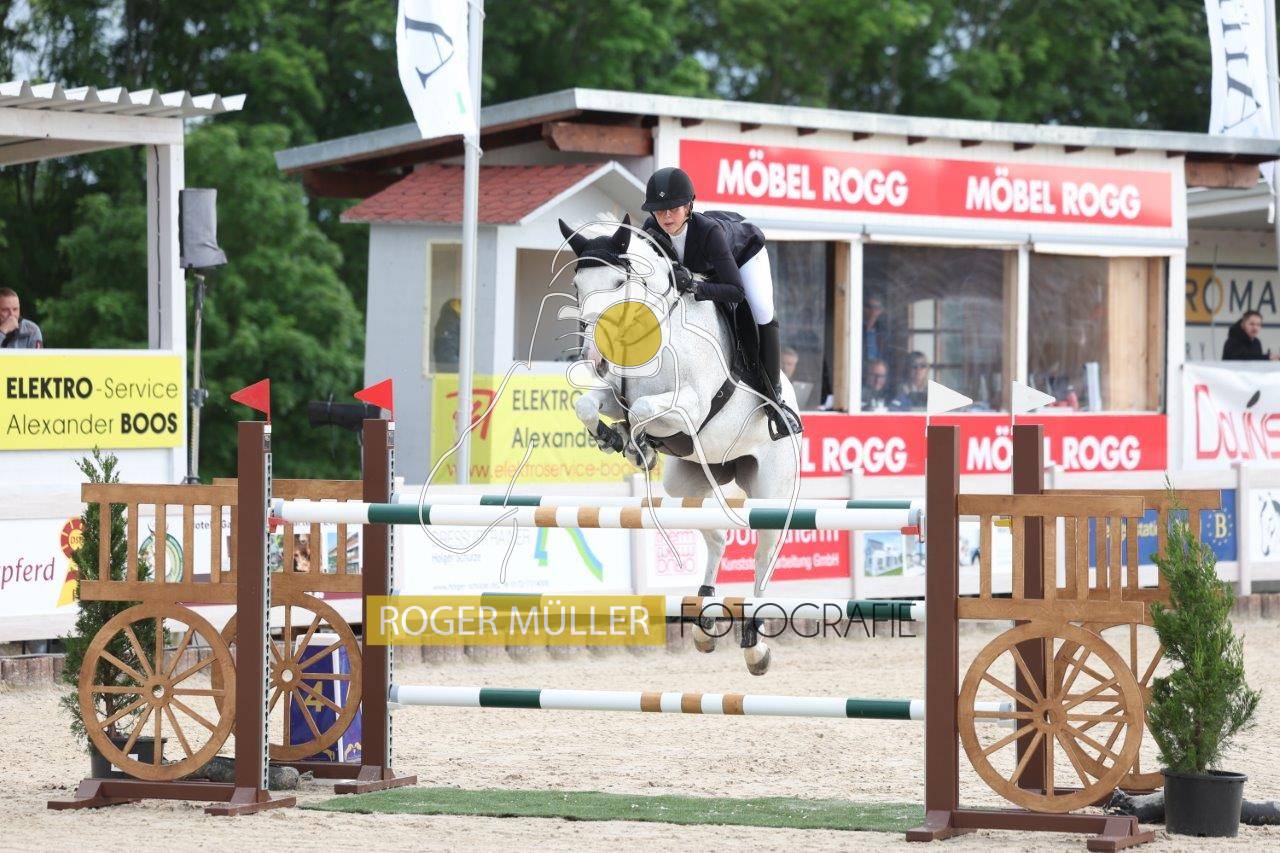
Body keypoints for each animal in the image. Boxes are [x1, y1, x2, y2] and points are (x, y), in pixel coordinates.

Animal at [556, 214, 801, 675]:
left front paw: (638, 444)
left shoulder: (689, 404)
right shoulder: (614, 393)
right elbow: (588, 405)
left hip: (771, 491)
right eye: (578, 284)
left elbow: (642, 411)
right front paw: (614, 438)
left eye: (619, 282)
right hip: (689, 482)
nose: (593, 357)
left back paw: (754, 646)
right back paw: (705, 619)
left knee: (763, 560)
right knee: (715, 536)